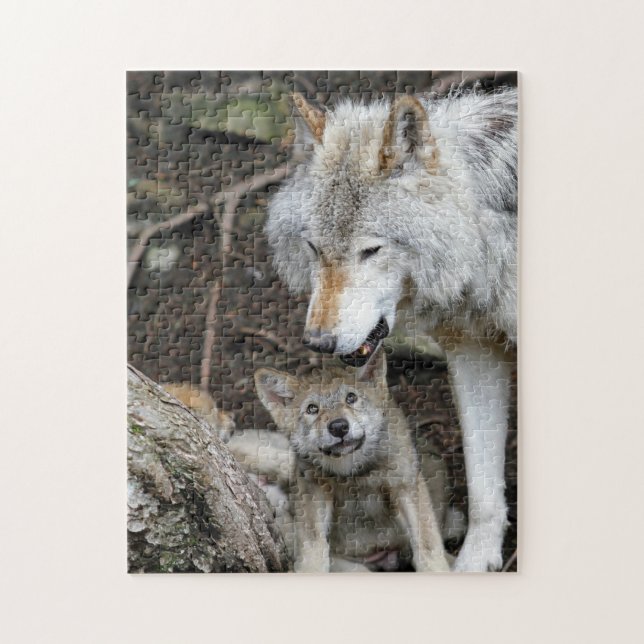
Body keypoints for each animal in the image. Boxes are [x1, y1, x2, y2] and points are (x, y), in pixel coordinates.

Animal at [254, 350, 450, 573]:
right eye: (312, 409)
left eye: (351, 398)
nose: (339, 427)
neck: (354, 473)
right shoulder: (313, 490)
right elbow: (313, 545)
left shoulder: (405, 485)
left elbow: (427, 543)